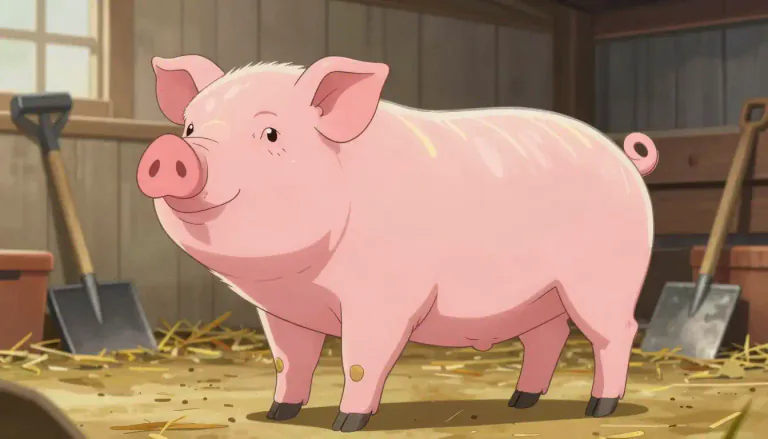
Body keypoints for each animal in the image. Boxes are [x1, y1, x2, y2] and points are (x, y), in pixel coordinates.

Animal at [137, 54, 659, 433]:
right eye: (190, 127)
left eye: (270, 133)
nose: (171, 151)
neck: (301, 279)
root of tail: (627, 162)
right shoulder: (282, 312)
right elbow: (289, 362)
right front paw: (278, 414)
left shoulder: (383, 300)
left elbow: (360, 363)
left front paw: (347, 424)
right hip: (540, 297)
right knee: (548, 338)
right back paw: (520, 402)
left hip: (605, 281)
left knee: (616, 334)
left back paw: (600, 409)